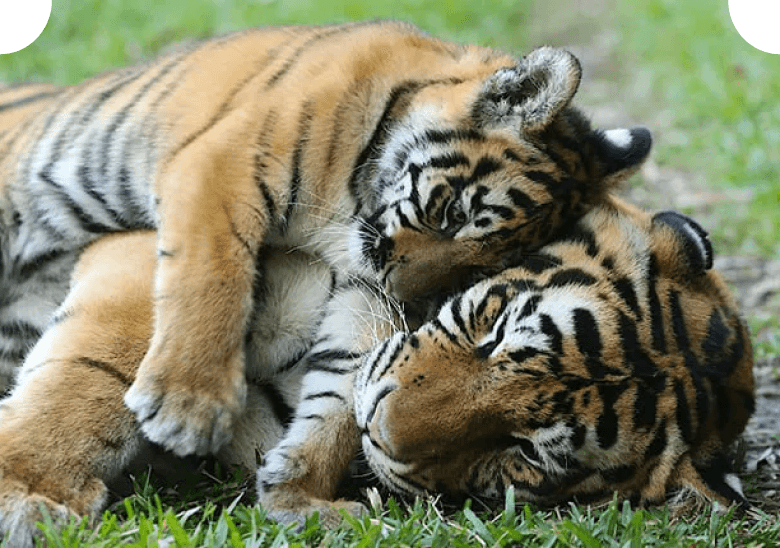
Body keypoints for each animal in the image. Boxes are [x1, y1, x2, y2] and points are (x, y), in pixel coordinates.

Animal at [0, 21, 652, 462]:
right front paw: (189, 406)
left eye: (473, 270)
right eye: (452, 214)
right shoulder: (221, 166)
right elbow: (213, 277)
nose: (402, 288)